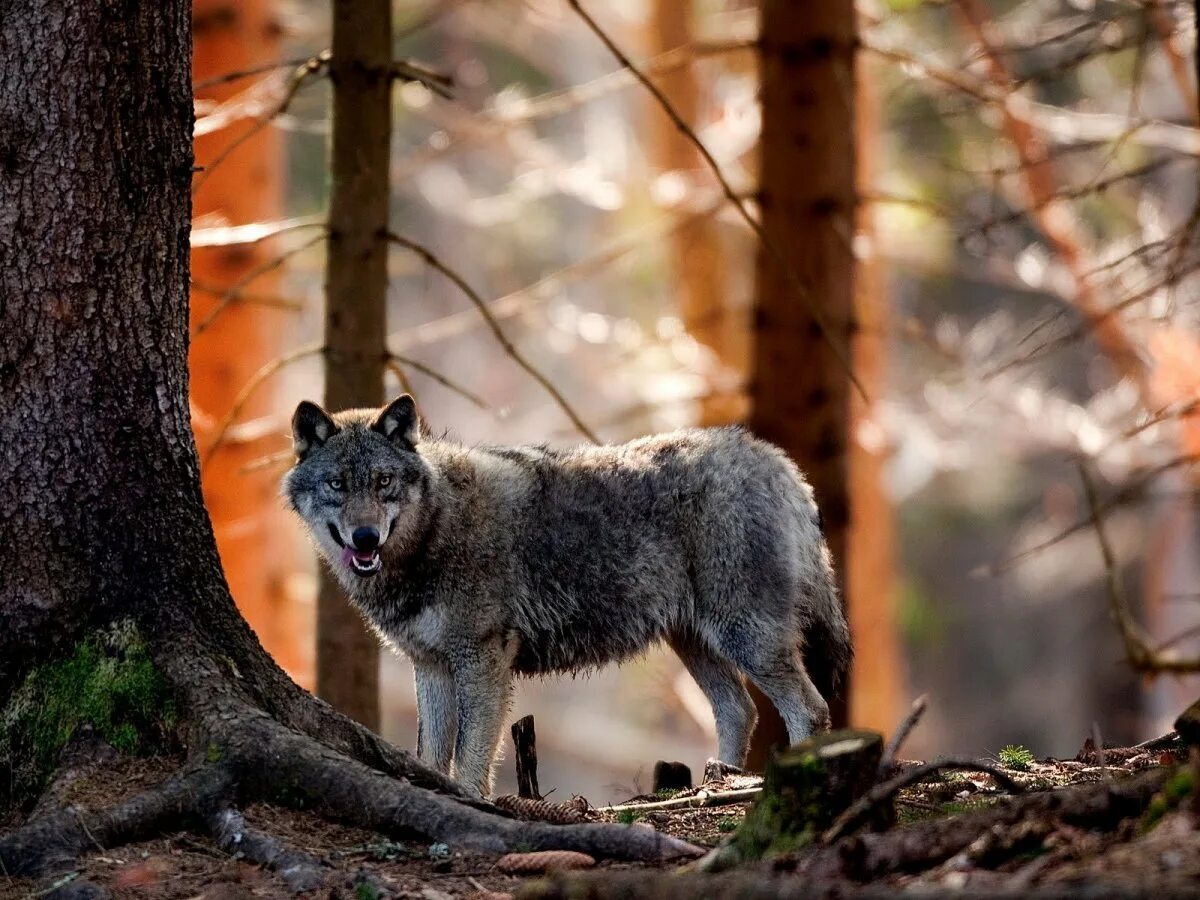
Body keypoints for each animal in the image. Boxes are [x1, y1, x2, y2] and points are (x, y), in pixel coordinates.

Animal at [285, 393, 854, 796]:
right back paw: (715, 785)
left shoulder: (483, 660)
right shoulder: (432, 666)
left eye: (382, 482)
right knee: (740, 710)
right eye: (337, 484)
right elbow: (433, 757)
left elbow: (470, 757)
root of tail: (777, 462)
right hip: (696, 642)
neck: (434, 531)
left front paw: (471, 801)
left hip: (745, 637)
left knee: (809, 709)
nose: (365, 538)